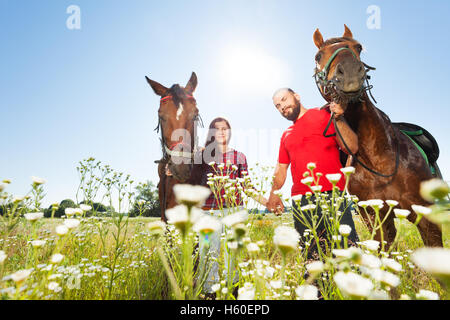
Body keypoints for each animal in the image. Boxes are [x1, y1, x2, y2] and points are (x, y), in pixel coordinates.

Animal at [312, 25, 442, 249]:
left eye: (358, 47)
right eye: (318, 56)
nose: (349, 74)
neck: (378, 157)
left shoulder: (426, 215)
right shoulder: (374, 218)